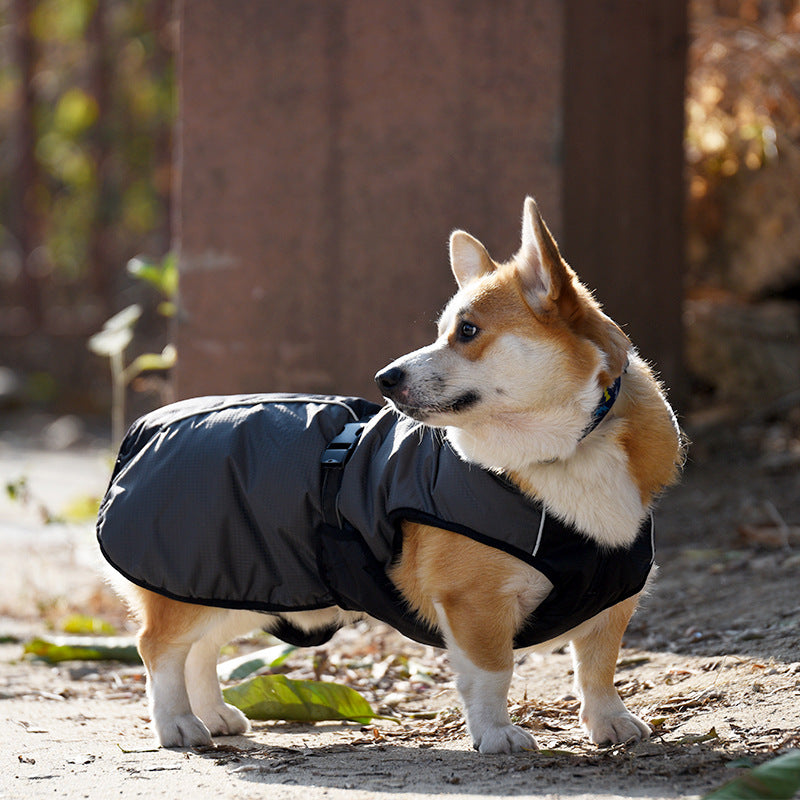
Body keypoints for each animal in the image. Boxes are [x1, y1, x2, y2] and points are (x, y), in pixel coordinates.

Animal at [100, 197, 684, 752]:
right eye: (444, 331)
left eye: (467, 331)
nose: (383, 378)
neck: (567, 448)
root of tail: (146, 427)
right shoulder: (474, 604)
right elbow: (492, 674)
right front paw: (496, 734)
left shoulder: (613, 601)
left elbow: (598, 670)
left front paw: (610, 722)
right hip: (200, 583)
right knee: (160, 646)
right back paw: (177, 723)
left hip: (246, 586)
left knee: (201, 647)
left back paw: (214, 714)